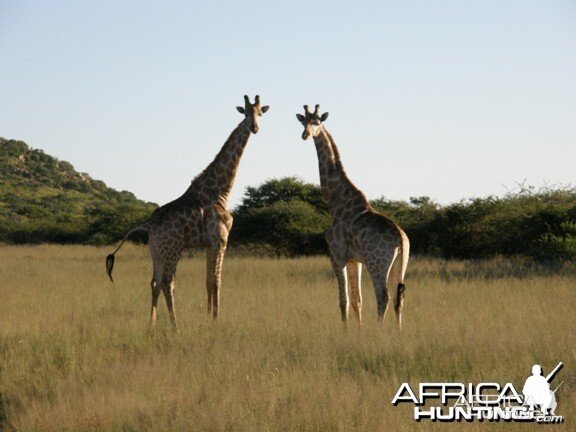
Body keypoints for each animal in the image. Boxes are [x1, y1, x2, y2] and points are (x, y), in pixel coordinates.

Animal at [106, 94, 270, 330]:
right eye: (246, 113)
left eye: (260, 113)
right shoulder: (221, 240)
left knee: (154, 283)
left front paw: (209, 317)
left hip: (156, 251)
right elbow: (217, 281)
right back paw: (175, 327)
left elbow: (208, 281)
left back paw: (151, 327)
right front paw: (216, 320)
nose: (255, 127)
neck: (221, 190)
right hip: (173, 250)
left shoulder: (208, 243)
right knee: (168, 283)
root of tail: (148, 223)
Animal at [296, 104, 410, 328]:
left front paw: (346, 331)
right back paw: (399, 331)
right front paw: (358, 330)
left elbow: (344, 300)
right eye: (303, 121)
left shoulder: (336, 255)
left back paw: (379, 331)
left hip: (377, 263)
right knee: (398, 297)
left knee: (383, 296)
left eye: (317, 122)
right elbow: (358, 300)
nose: (305, 134)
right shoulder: (354, 260)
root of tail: (401, 239)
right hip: (399, 264)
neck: (335, 201)